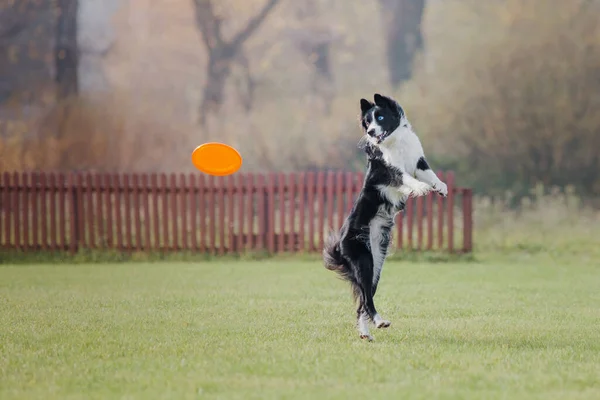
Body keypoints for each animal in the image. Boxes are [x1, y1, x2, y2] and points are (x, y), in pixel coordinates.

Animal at [324, 94, 446, 340]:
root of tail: (340, 245)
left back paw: (366, 334)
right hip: (364, 262)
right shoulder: (390, 170)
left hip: (376, 265)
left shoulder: (418, 161)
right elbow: (406, 178)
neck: (395, 141)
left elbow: (430, 174)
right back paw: (379, 322)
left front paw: (441, 187)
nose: (371, 132)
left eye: (379, 117)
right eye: (367, 122)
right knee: (366, 299)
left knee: (363, 301)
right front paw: (421, 188)